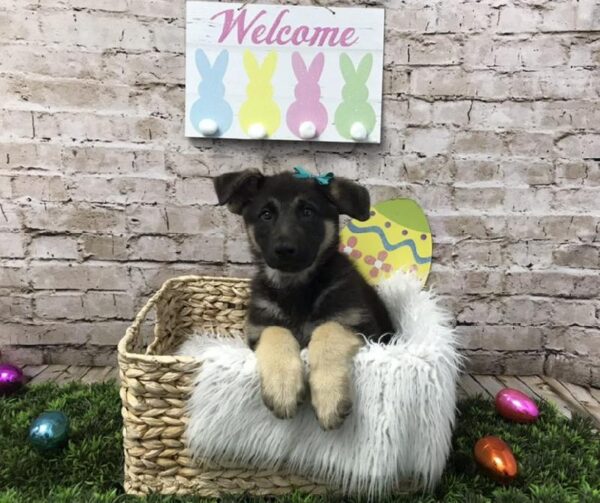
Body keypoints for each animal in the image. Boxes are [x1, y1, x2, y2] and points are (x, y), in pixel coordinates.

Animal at [212, 169, 394, 430]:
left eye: (308, 212)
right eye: (266, 215)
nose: (285, 249)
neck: (295, 287)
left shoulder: (362, 327)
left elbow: (329, 329)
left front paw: (329, 397)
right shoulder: (258, 330)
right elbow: (276, 331)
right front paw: (282, 387)